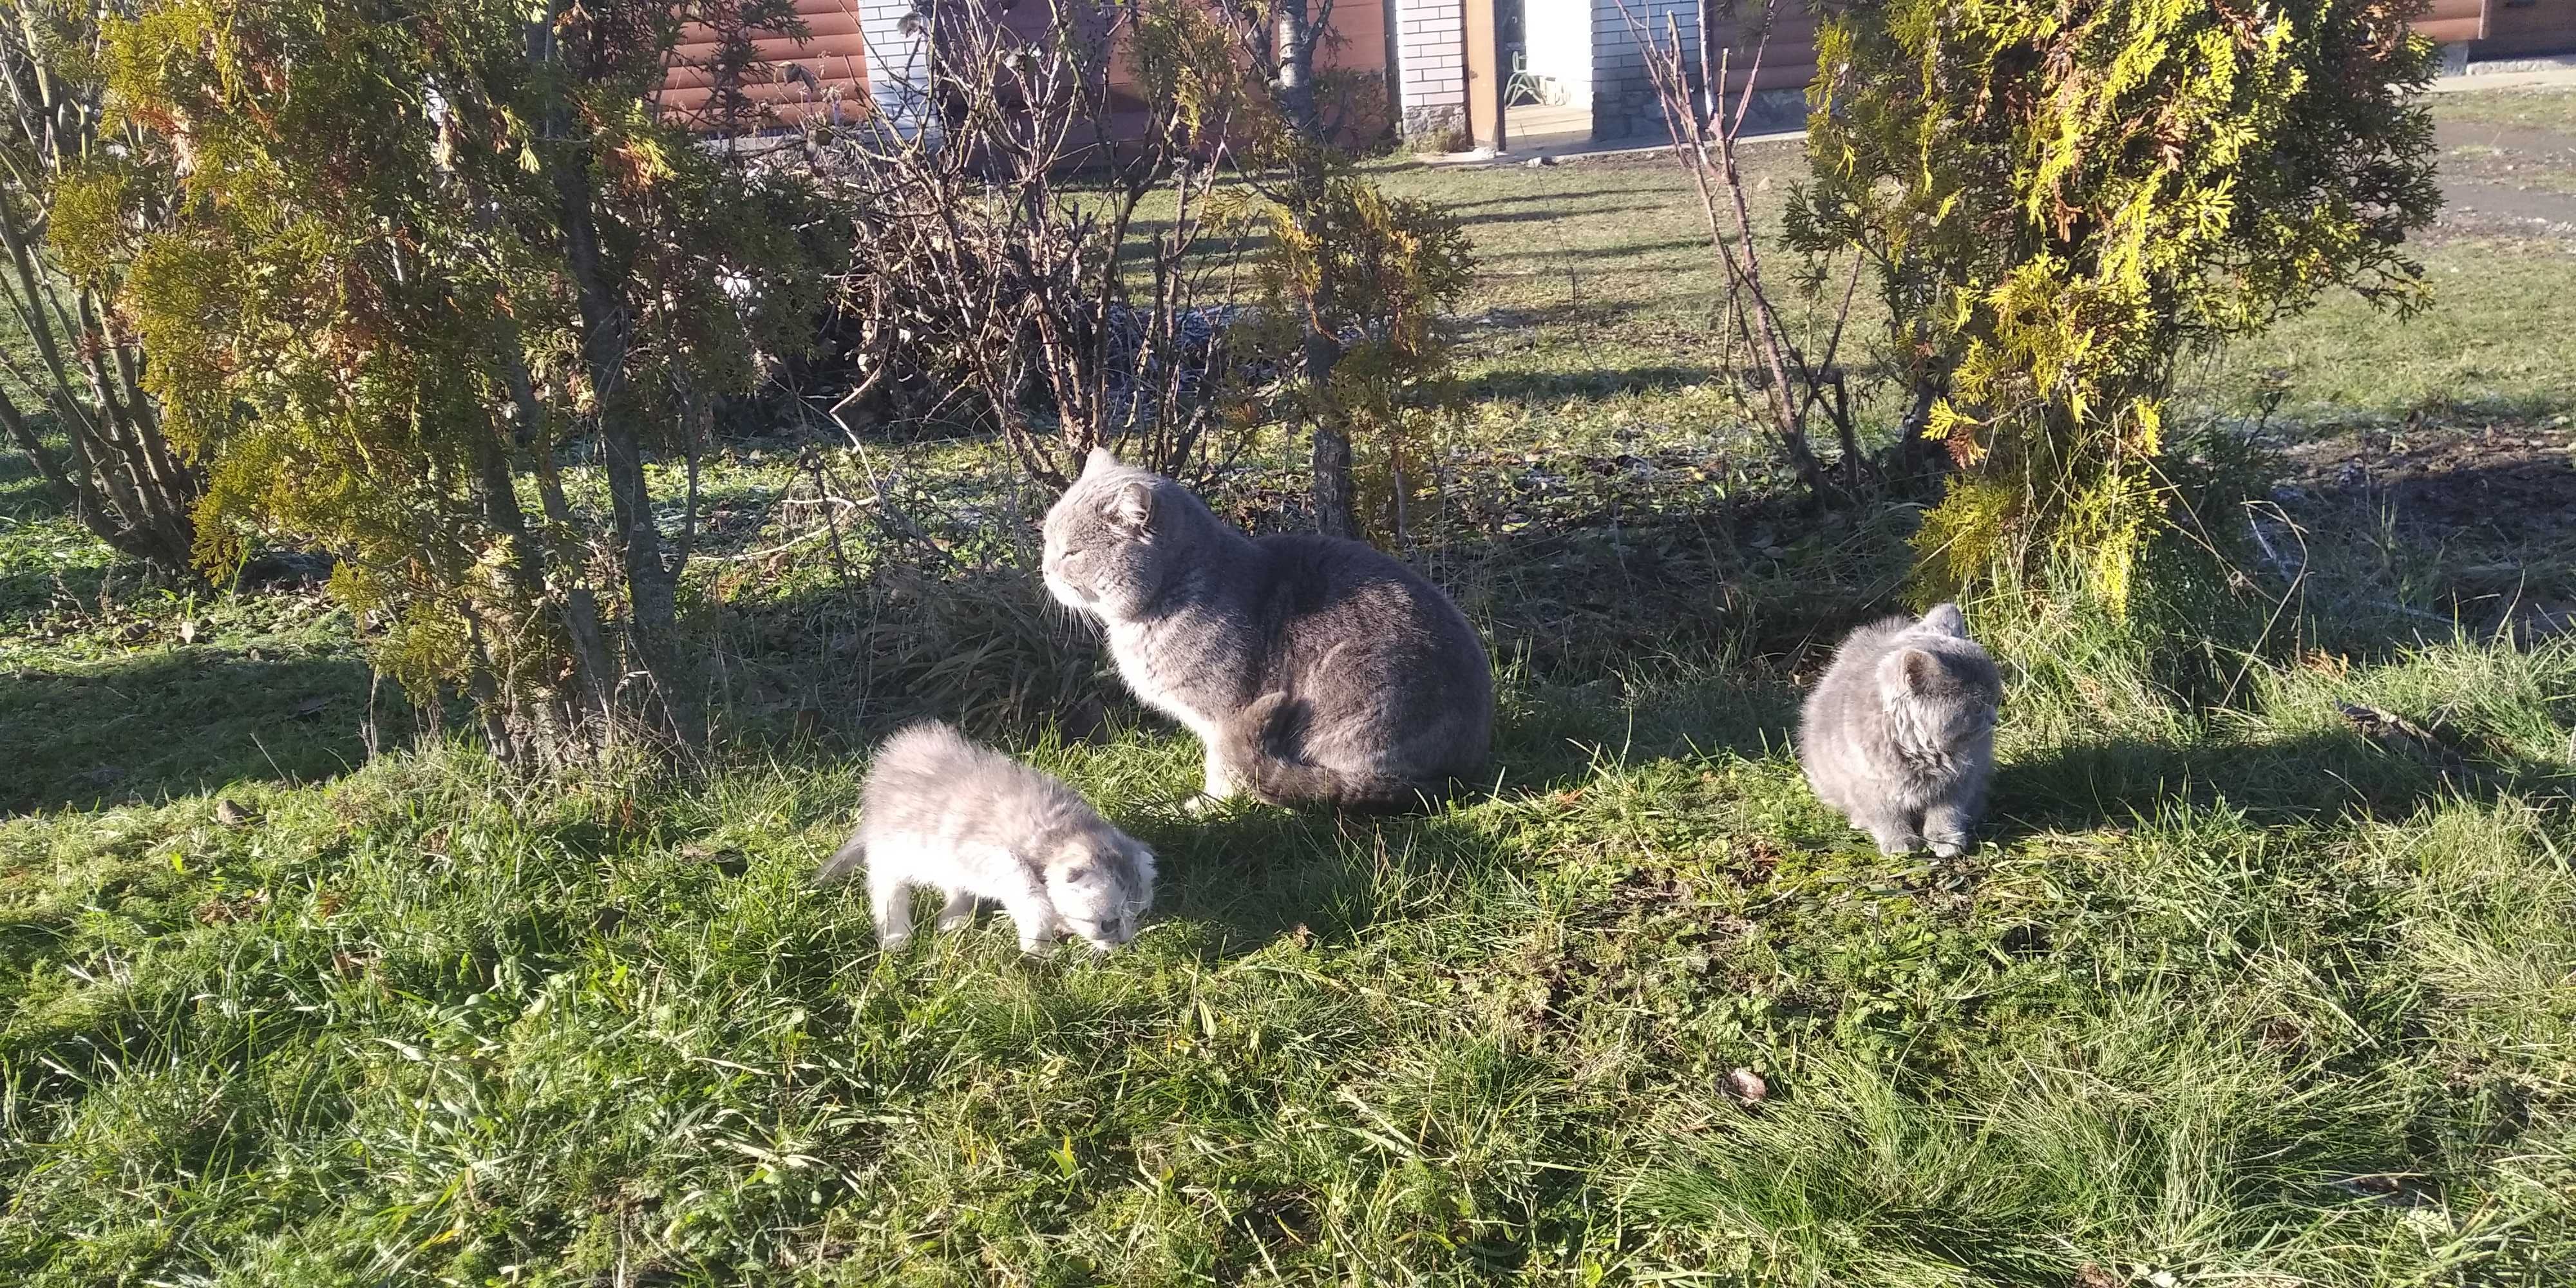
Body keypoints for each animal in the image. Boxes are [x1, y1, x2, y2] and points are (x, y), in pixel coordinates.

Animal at [819, 721, 1154, 953]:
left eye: (1138, 916)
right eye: (1109, 924)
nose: (1125, 941)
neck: (1058, 830)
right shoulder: (985, 853)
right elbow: (1029, 892)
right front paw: (1040, 946)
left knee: (954, 885)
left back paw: (953, 918)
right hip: (894, 849)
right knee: (887, 889)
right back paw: (896, 935)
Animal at [1041, 448, 1494, 809]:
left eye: (1072, 553)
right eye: (1047, 538)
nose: (1044, 569)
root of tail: (1461, 773)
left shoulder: (1229, 715)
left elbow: (1224, 767)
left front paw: (1209, 807)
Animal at [1803, 600, 1999, 855]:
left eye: (1995, 699)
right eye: (1977, 707)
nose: (1994, 719)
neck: (1922, 753)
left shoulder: (1960, 780)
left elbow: (1947, 813)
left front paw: (1946, 840)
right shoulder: (1867, 785)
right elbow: (1886, 817)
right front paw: (1899, 843)